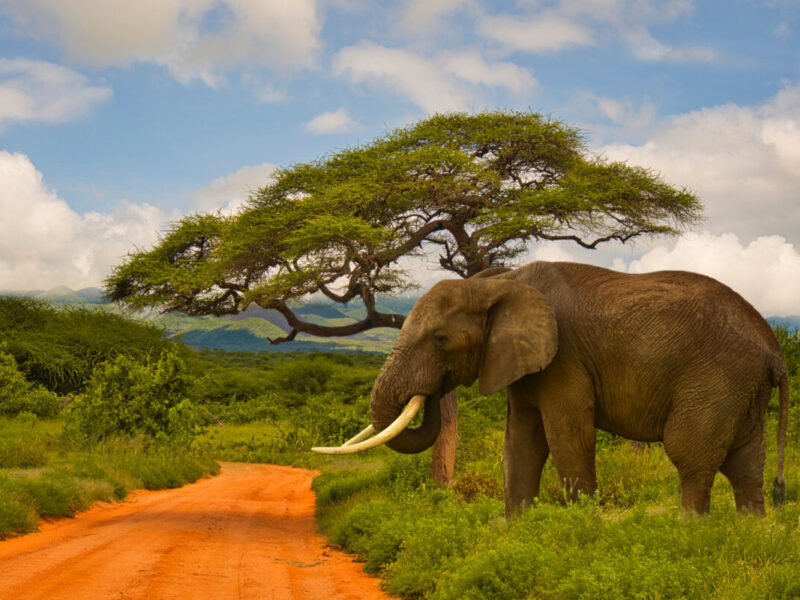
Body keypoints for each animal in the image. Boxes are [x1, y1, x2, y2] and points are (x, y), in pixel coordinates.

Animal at [312, 262, 788, 516]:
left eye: (440, 340)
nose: (431, 390)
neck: (500, 280)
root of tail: (774, 350)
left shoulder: (564, 358)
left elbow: (566, 438)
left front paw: (579, 529)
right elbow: (521, 442)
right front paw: (520, 531)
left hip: (716, 378)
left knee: (692, 458)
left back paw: (689, 535)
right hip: (742, 389)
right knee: (746, 466)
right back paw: (745, 533)